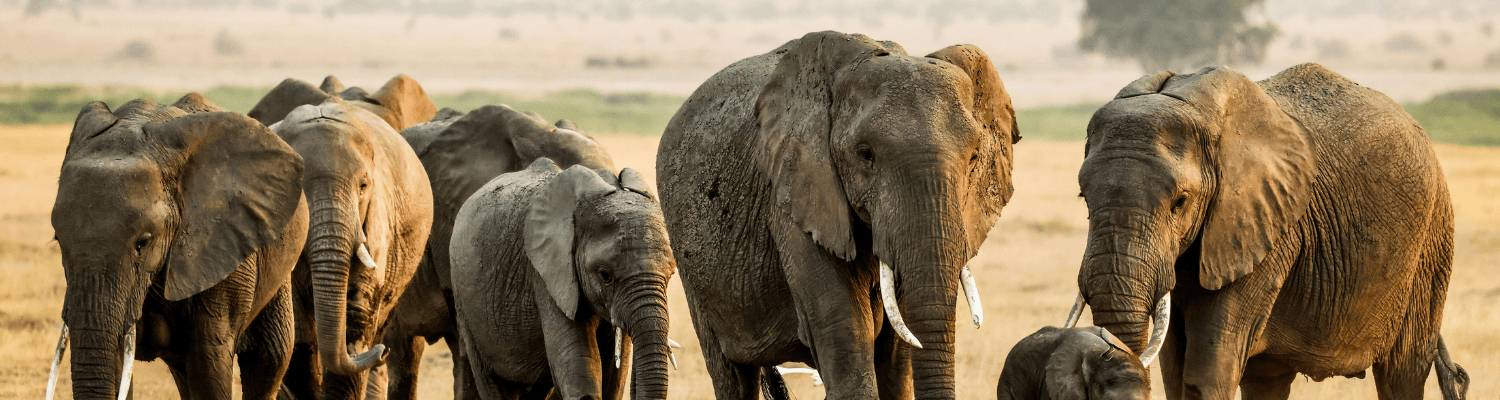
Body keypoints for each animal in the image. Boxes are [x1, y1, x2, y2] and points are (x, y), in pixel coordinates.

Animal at [449, 159, 674, 400]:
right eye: (605, 276)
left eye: (671, 275)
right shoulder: (545, 276)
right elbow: (578, 366)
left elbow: (614, 377)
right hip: (465, 303)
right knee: (490, 381)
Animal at [656, 30, 1020, 399]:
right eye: (865, 155)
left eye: (974, 157)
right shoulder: (793, 196)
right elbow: (845, 333)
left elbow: (895, 356)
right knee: (731, 375)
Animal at [1067, 63, 1469, 400]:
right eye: (1083, 197)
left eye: (1180, 202)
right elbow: (1174, 368)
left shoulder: (1268, 229)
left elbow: (1205, 375)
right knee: (1267, 379)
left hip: (1430, 245)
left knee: (1403, 373)